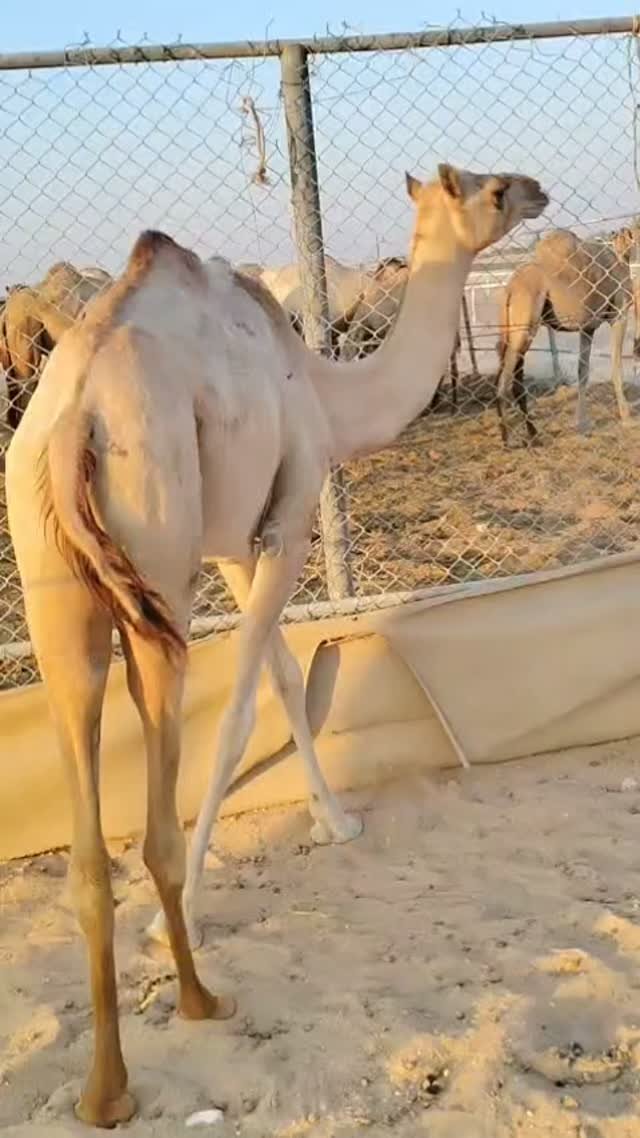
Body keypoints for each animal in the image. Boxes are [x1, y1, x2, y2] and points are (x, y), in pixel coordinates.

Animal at [496, 224, 640, 445]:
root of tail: (509, 290)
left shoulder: (588, 327)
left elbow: (582, 371)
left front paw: (582, 424)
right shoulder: (619, 314)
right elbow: (616, 366)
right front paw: (627, 418)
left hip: (514, 328)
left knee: (513, 374)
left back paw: (532, 433)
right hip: (526, 321)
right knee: (506, 378)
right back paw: (508, 439)